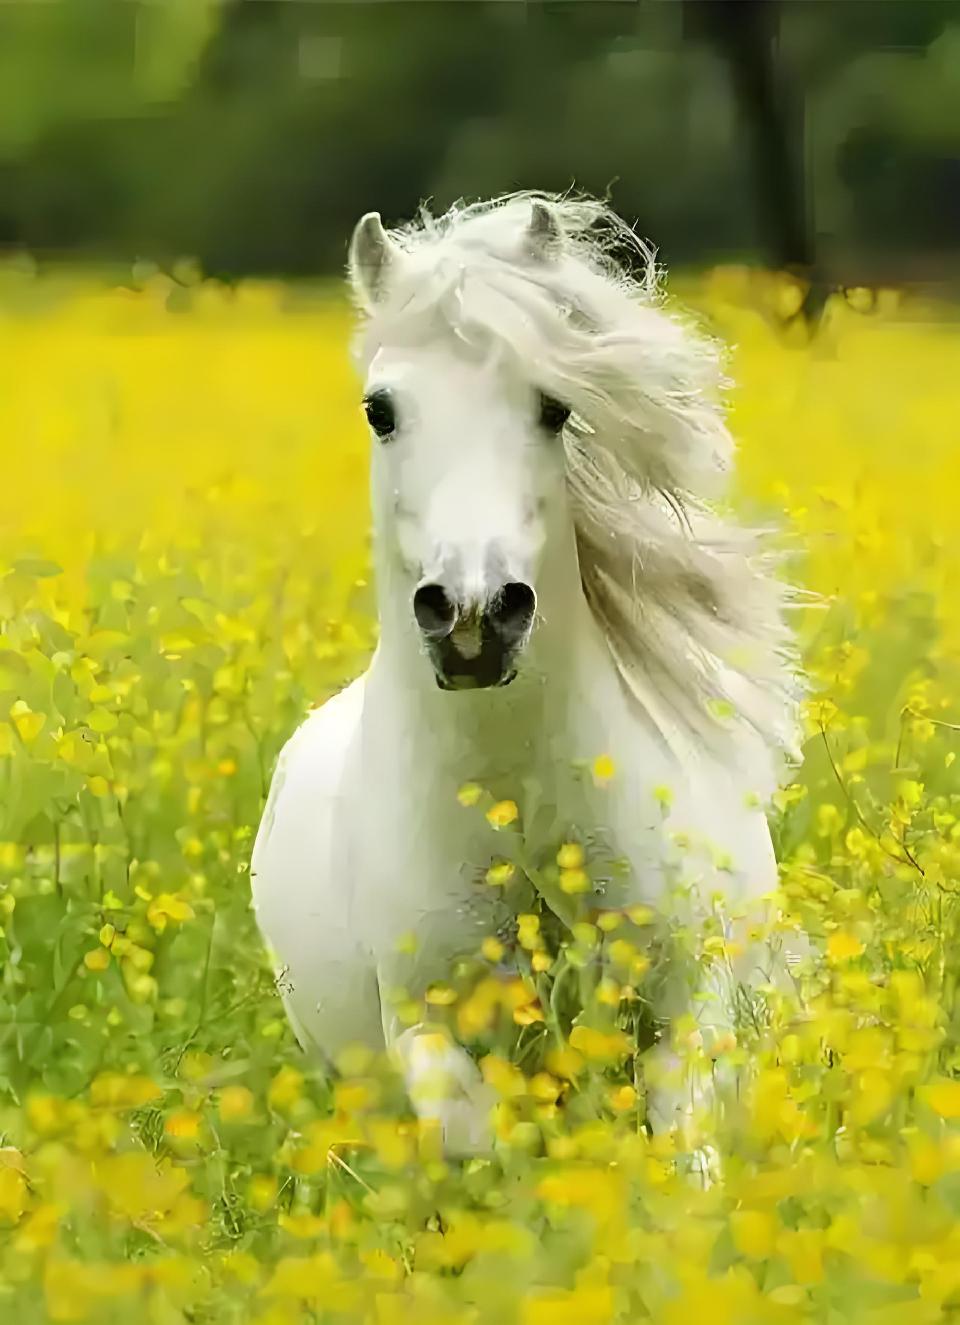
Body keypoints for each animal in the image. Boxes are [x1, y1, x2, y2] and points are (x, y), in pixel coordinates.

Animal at [250, 191, 802, 1158]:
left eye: (553, 406)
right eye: (380, 410)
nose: (473, 616)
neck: (524, 813)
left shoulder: (689, 1012)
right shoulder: (427, 1033)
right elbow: (486, 1150)